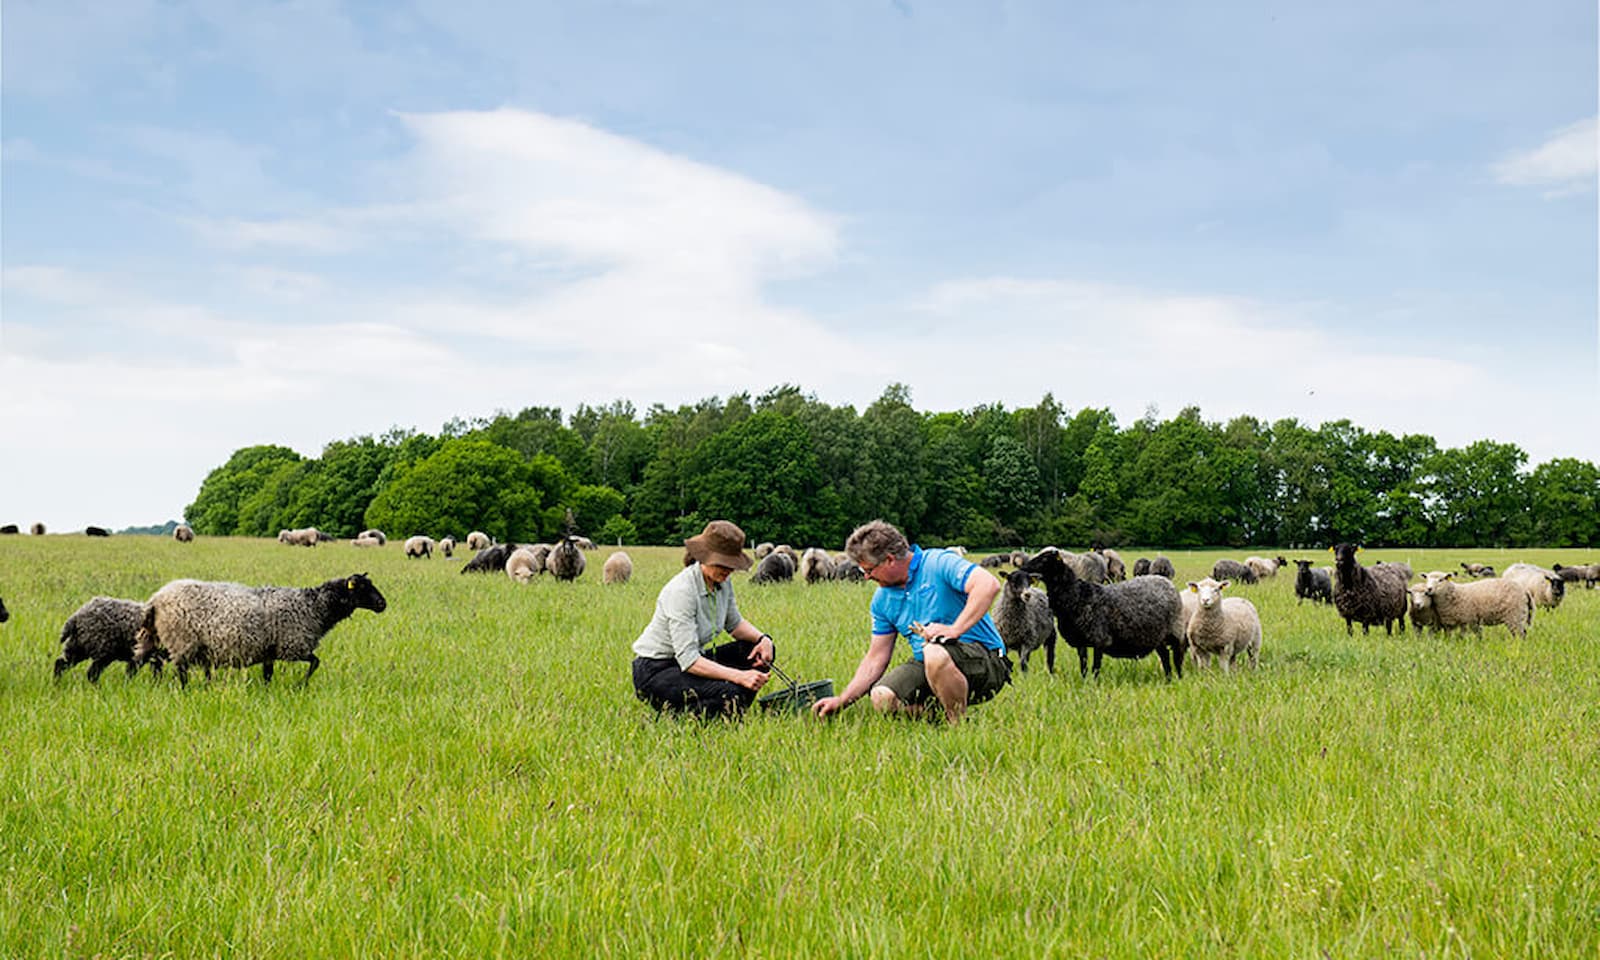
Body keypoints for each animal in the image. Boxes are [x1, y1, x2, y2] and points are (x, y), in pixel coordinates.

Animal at [132, 569, 387, 681]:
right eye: (363, 588)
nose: (382, 604)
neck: (312, 607)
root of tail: (156, 599)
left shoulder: (269, 652)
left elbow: (267, 675)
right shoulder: (292, 646)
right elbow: (315, 662)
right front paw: (301, 685)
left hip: (162, 638)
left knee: (147, 660)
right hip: (182, 641)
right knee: (179, 669)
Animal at [1011, 550, 1190, 678]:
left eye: (1044, 559)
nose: (1022, 569)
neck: (1077, 595)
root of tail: (1165, 581)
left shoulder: (1099, 639)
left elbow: (1095, 667)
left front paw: (1095, 684)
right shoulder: (1081, 642)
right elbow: (1083, 666)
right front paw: (1085, 682)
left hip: (1175, 630)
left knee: (1177, 656)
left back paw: (1179, 677)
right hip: (1158, 636)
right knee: (1165, 656)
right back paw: (1168, 678)